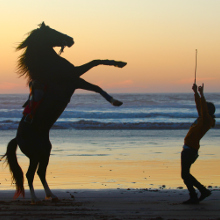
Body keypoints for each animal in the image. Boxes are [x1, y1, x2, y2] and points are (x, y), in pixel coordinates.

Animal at [1, 21, 126, 204]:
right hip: (35, 154)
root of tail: (17, 139)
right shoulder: (74, 78)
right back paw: (35, 198)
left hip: (45, 151)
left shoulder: (75, 78)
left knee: (40, 172)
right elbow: (96, 83)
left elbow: (96, 62)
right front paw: (114, 101)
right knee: (30, 174)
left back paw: (51, 195)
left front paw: (119, 63)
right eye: (52, 31)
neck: (50, 66)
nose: (71, 39)